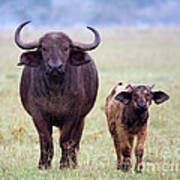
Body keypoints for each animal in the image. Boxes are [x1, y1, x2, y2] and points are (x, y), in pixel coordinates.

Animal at [14, 20, 100, 169]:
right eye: (44, 48)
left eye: (66, 48)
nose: (55, 67)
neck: (55, 90)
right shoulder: (37, 115)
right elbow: (46, 140)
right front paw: (44, 164)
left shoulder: (72, 116)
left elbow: (65, 140)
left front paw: (64, 164)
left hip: (82, 118)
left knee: (75, 141)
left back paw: (73, 163)